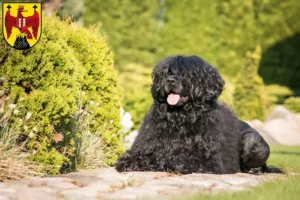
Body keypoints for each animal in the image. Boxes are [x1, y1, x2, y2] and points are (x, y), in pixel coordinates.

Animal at [116, 54, 274, 173]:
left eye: (187, 74)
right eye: (167, 73)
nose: (170, 80)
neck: (179, 118)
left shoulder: (205, 159)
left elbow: (173, 158)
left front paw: (154, 162)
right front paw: (130, 161)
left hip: (252, 139)